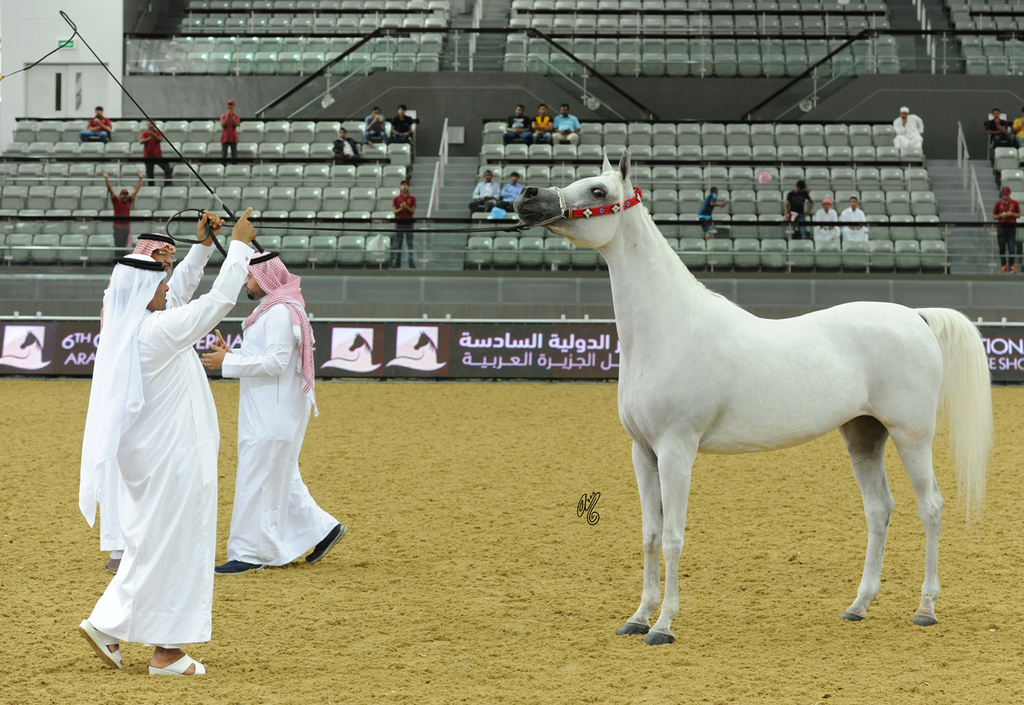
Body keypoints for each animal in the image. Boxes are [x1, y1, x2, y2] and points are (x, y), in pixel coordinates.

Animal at [513, 150, 993, 646]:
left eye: (598, 191)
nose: (528, 195)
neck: (670, 327)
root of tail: (916, 316)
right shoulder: (642, 452)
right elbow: (649, 535)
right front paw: (638, 617)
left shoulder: (676, 449)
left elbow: (673, 536)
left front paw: (663, 625)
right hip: (863, 435)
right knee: (879, 509)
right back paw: (858, 606)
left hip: (911, 435)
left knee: (930, 508)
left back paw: (925, 608)